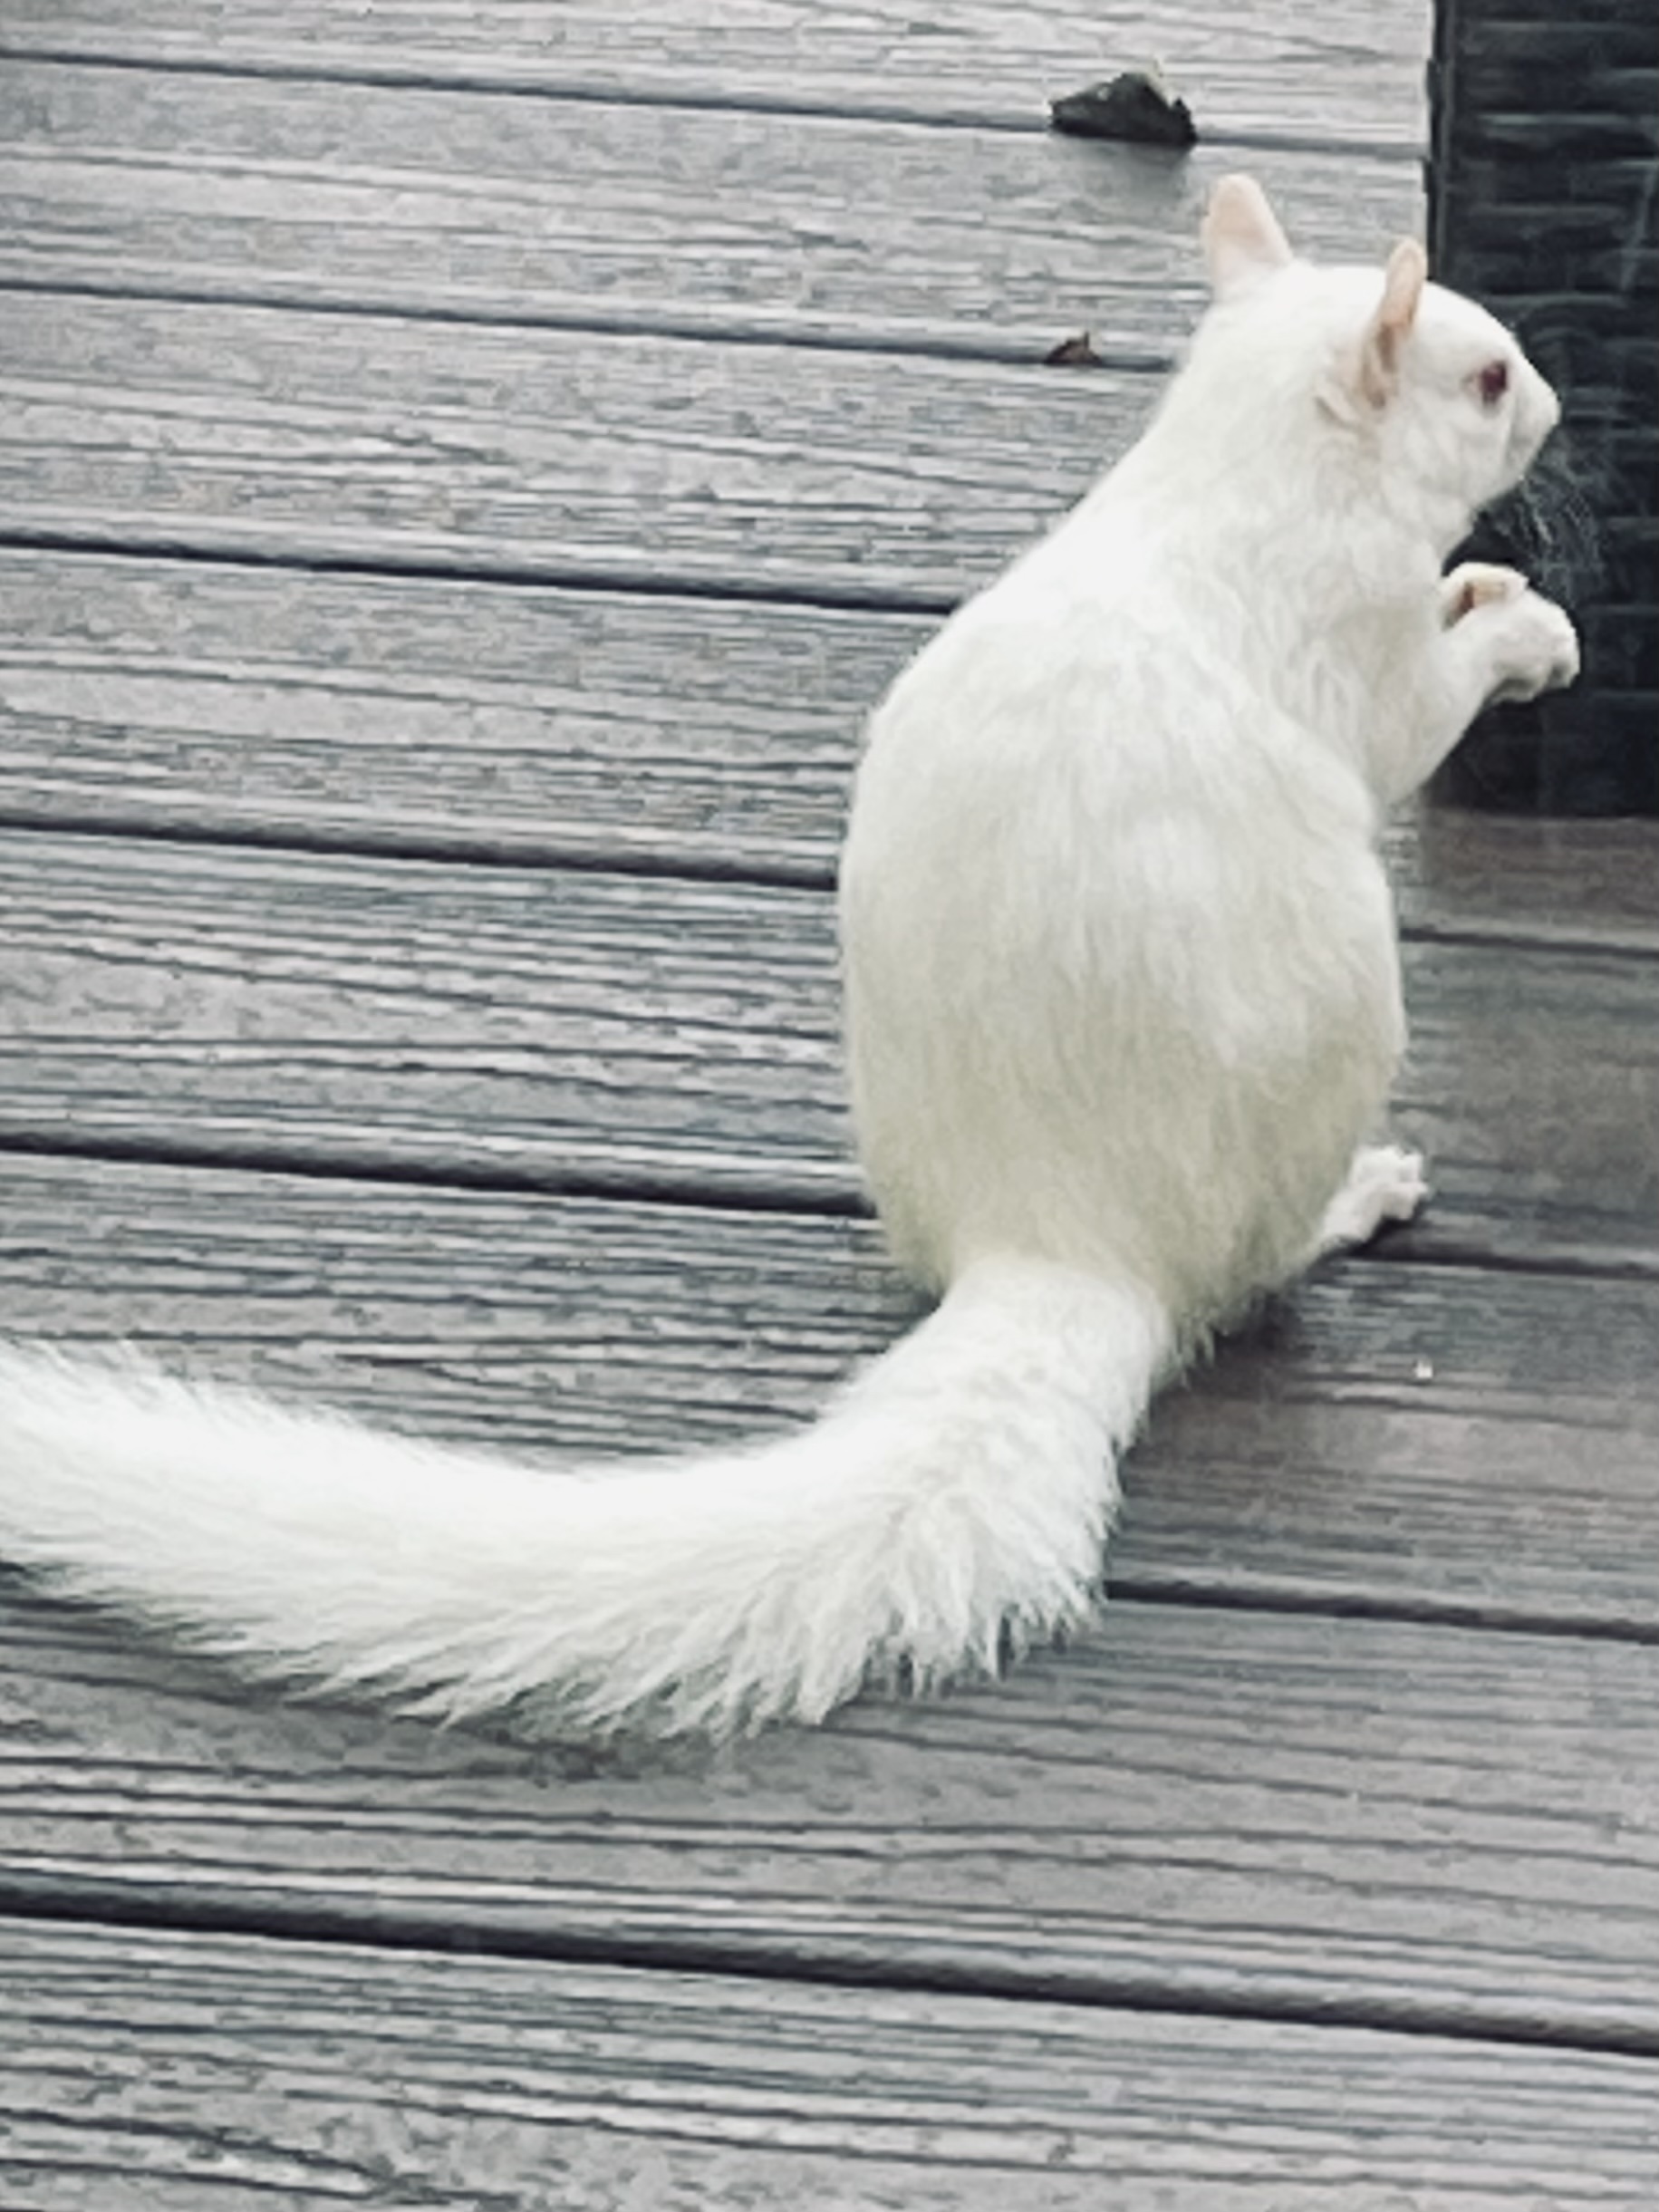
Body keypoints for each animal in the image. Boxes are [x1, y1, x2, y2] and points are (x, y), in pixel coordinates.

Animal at [0, 181, 1583, 1743]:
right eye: (1482, 378)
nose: (1556, 406)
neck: (1244, 467)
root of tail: (1059, 1235)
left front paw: (1481, 587)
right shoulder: (1353, 652)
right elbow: (1418, 710)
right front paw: (1516, 628)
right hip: (1321, 1049)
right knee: (1259, 1262)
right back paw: (1358, 1195)